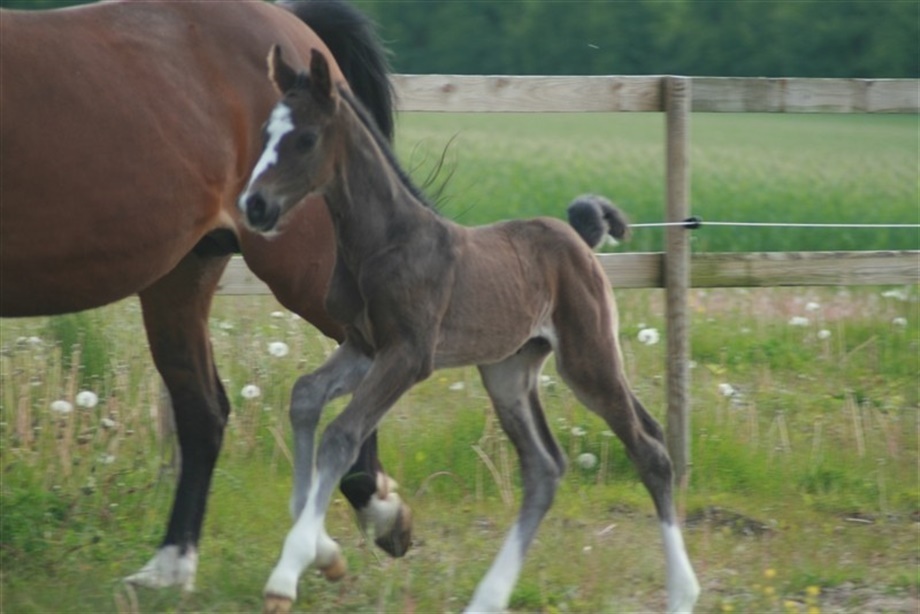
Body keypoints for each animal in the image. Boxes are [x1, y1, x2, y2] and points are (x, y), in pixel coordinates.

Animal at [0, 0, 412, 592]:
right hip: (181, 275)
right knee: (204, 411)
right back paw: (170, 568)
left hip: (301, 266)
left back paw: (372, 514)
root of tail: (292, 25)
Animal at [237, 46, 701, 613]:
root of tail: (578, 237)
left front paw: (289, 570)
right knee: (544, 468)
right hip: (508, 371)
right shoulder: (364, 346)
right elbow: (305, 397)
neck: (384, 242)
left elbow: (341, 435)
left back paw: (682, 592)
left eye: (305, 138)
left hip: (588, 357)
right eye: (265, 133)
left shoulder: (410, 354)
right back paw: (488, 597)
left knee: (650, 448)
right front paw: (322, 549)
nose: (255, 206)